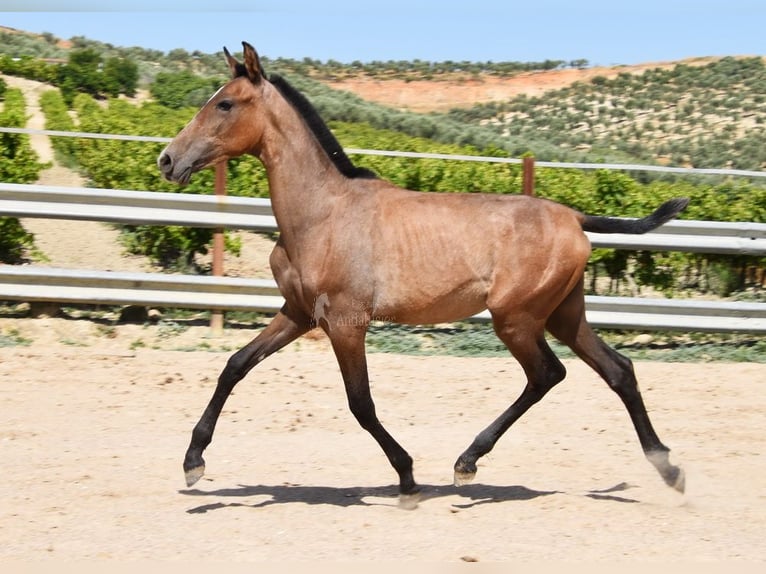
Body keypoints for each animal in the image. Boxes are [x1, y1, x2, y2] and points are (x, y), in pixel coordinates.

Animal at [160, 41, 688, 508]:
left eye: (225, 103)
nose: (168, 159)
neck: (321, 215)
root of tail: (574, 216)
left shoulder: (346, 323)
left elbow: (361, 403)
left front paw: (408, 478)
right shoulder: (299, 314)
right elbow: (235, 365)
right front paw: (192, 462)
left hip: (516, 318)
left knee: (547, 374)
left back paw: (467, 462)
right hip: (563, 314)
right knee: (618, 370)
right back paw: (670, 470)